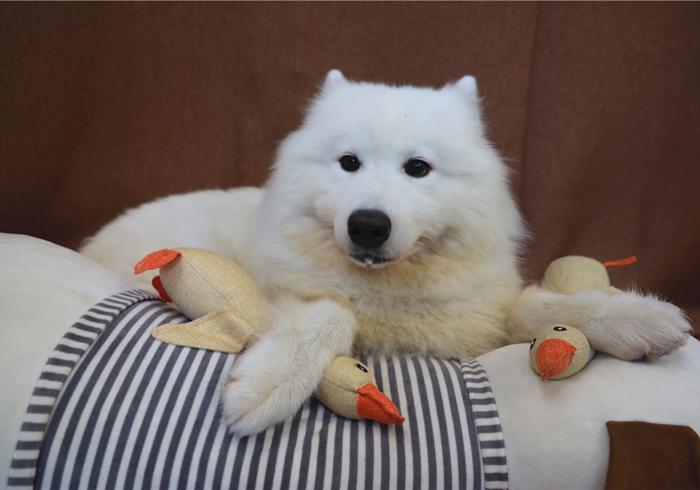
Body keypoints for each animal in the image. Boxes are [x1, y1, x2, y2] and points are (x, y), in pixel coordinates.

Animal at [81, 70, 690, 435]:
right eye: (348, 162)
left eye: (417, 168)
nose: (368, 225)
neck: (391, 290)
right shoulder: (285, 296)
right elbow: (329, 315)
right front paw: (267, 383)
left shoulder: (479, 319)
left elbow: (549, 306)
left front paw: (641, 320)